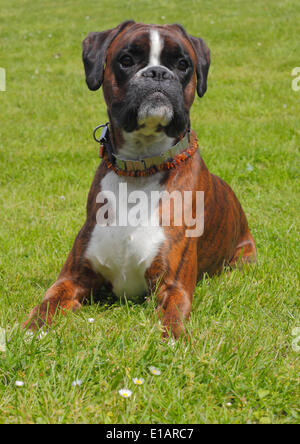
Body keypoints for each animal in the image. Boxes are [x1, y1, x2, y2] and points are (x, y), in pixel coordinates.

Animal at [24, 20, 256, 338]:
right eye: (126, 60)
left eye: (182, 64)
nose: (157, 72)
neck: (139, 168)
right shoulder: (72, 278)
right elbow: (47, 303)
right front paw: (31, 330)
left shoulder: (173, 285)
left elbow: (172, 317)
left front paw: (173, 340)